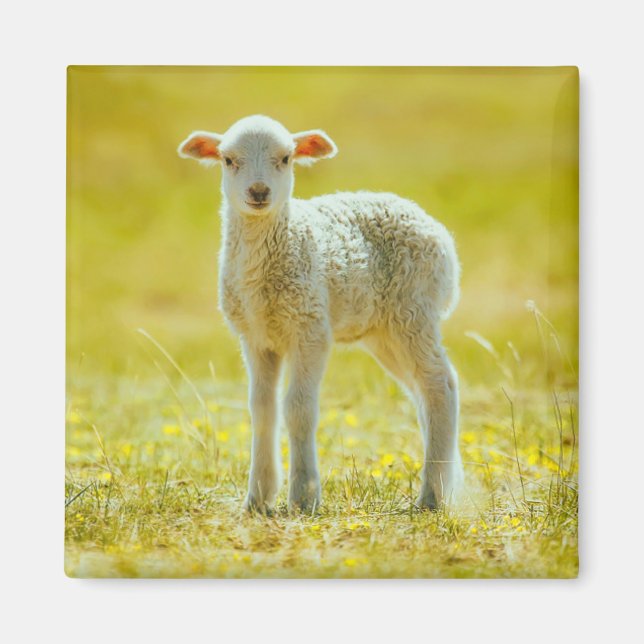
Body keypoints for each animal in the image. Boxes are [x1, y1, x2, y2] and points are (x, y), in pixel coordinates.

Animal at [178, 114, 463, 513]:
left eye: (286, 158)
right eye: (228, 160)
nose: (259, 191)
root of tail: (436, 229)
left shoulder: (310, 328)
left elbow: (298, 409)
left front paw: (303, 497)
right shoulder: (255, 336)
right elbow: (261, 410)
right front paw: (258, 498)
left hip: (414, 310)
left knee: (441, 385)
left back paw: (431, 496)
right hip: (384, 331)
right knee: (423, 391)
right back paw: (443, 482)